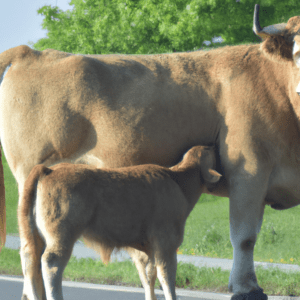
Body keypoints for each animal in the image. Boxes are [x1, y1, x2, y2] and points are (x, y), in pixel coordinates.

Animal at [17, 145, 221, 300]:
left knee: (30, 260)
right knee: (51, 263)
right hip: (61, 236)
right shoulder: (166, 244)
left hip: (33, 235)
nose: (212, 146)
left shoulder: (146, 250)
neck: (178, 182)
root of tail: (49, 169)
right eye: (209, 152)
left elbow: (148, 276)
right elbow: (166, 277)